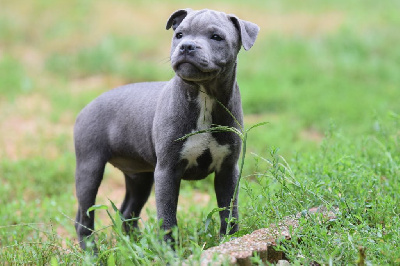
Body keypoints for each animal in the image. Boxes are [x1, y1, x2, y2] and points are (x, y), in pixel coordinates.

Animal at [74, 8, 260, 249]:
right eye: (179, 34)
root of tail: (85, 108)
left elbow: (228, 213)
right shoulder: (167, 171)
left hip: (139, 177)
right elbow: (168, 219)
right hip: (90, 167)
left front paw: (228, 242)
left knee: (127, 213)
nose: (187, 46)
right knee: (84, 219)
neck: (204, 96)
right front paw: (170, 252)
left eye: (216, 37)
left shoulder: (227, 170)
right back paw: (92, 252)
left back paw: (136, 245)